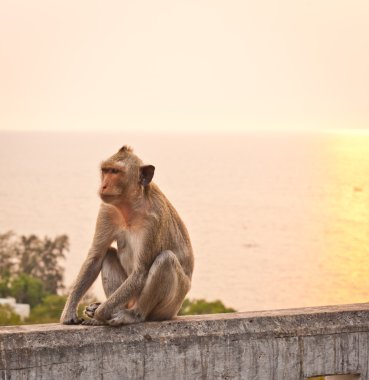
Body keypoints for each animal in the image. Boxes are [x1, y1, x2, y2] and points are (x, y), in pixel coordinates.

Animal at [59, 145, 196, 326]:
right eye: (105, 171)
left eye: (115, 172)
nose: (103, 186)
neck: (131, 206)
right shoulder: (107, 210)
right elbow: (95, 258)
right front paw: (69, 312)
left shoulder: (154, 220)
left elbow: (140, 272)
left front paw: (99, 315)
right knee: (109, 254)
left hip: (170, 307)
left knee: (165, 260)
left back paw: (133, 315)